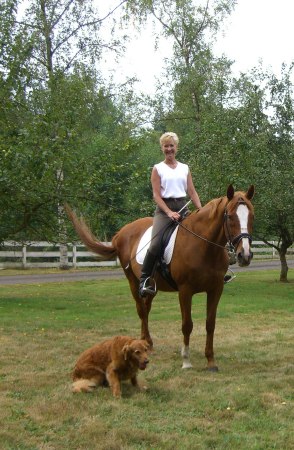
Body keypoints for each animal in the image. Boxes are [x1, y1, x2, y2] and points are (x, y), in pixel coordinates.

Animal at [65, 185, 254, 370]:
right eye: (230, 216)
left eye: (252, 215)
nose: (244, 255)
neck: (204, 246)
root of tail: (120, 233)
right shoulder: (185, 291)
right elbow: (187, 325)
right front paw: (186, 361)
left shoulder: (216, 289)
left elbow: (210, 324)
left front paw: (211, 361)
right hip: (133, 282)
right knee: (141, 310)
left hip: (152, 287)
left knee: (147, 309)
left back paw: (147, 343)